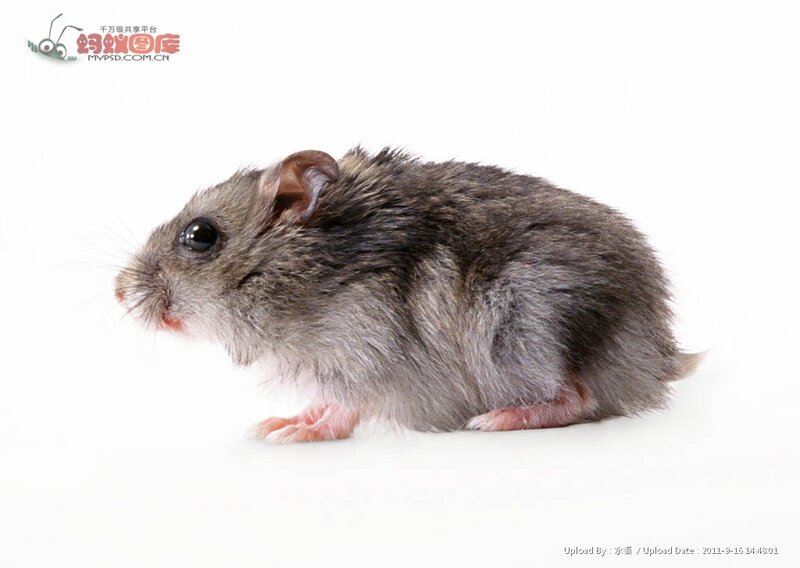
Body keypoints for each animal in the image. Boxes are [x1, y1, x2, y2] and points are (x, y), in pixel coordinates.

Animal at [115, 147, 701, 443]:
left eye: (200, 235)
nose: (118, 292)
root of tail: (657, 355)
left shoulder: (364, 351)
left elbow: (344, 408)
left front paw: (294, 434)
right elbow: (323, 399)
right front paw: (275, 425)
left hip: (527, 324)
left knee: (578, 398)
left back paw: (495, 420)